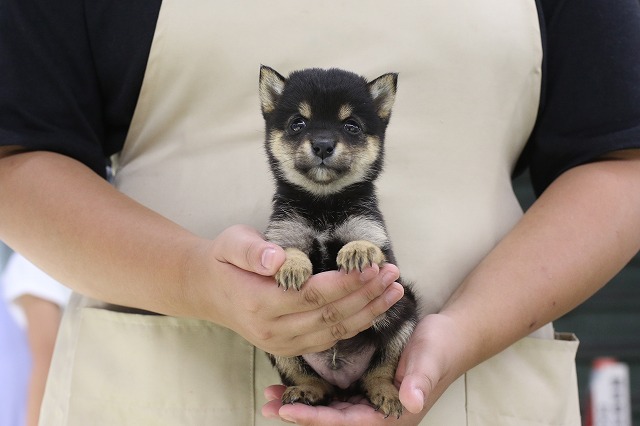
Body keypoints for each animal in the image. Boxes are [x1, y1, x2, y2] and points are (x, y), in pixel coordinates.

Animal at [258, 65, 418, 418]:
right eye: (298, 123)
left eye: (351, 126)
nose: (322, 145)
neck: (324, 203)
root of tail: (344, 381)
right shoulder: (283, 233)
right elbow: (291, 251)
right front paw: (292, 267)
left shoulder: (379, 243)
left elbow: (368, 245)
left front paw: (357, 251)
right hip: (278, 347)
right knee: (306, 376)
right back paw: (307, 390)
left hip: (404, 314)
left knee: (380, 371)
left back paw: (386, 393)